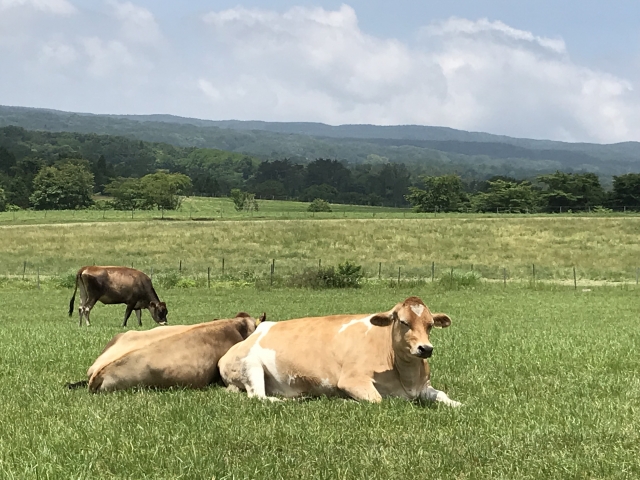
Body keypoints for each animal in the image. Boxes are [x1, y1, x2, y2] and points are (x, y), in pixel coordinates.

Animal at [219, 298, 460, 406]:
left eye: (430, 325)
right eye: (403, 321)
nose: (425, 348)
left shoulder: (424, 386)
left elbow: (443, 395)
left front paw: (458, 404)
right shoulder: (352, 380)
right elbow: (377, 399)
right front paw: (347, 401)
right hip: (250, 365)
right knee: (258, 396)